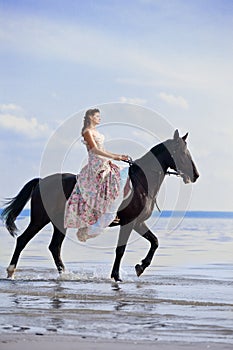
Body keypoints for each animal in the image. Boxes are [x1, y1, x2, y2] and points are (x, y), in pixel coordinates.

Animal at [0, 130, 199, 280]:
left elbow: (155, 242)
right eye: (183, 153)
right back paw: (11, 271)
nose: (196, 175)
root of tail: (41, 181)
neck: (141, 183)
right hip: (40, 219)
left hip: (59, 223)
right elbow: (121, 249)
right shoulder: (129, 223)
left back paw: (65, 274)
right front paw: (117, 276)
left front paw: (140, 267)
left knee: (54, 247)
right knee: (23, 240)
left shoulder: (138, 222)